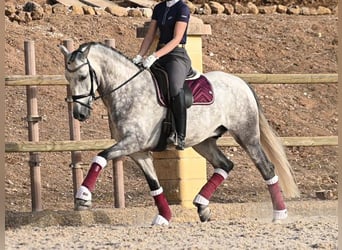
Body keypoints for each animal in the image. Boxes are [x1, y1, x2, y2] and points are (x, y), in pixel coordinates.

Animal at [60, 42, 298, 226]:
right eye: (67, 78)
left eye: (83, 76)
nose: (79, 114)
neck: (130, 90)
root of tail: (240, 82)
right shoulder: (138, 151)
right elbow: (154, 185)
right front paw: (164, 217)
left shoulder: (132, 142)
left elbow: (100, 156)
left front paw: (83, 196)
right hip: (203, 142)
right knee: (225, 165)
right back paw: (202, 206)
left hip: (246, 135)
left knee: (266, 168)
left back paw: (280, 214)